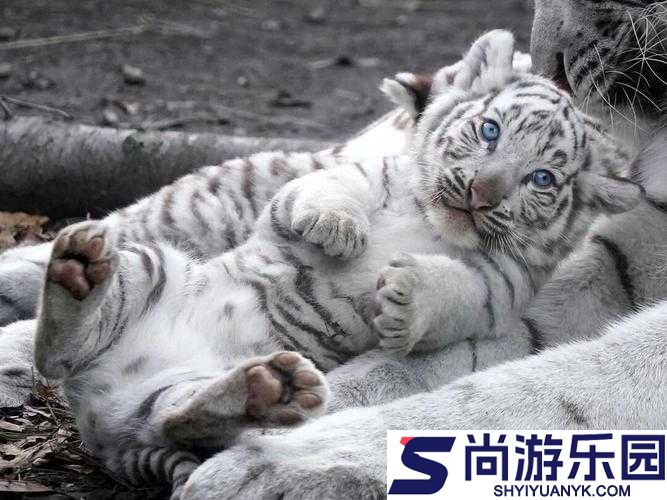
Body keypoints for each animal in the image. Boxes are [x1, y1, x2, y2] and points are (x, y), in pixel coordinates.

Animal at [28, 30, 641, 498]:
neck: (434, 222)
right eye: (490, 130)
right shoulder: (345, 181)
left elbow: (454, 292)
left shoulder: (498, 286)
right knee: (56, 354)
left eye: (542, 178)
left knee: (177, 418)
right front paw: (336, 230)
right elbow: (328, 192)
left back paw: (265, 389)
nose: (481, 194)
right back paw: (79, 269)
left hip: (169, 392)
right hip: (154, 266)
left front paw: (405, 300)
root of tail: (102, 430)